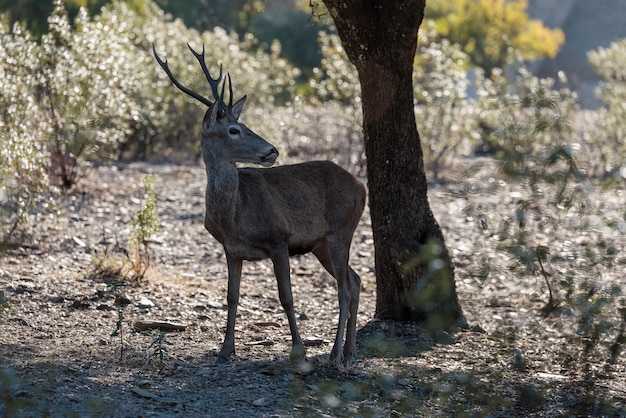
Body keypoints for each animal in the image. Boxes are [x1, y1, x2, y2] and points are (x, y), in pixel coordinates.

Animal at [152, 43, 366, 366]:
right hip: (320, 244)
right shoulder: (231, 250)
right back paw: (351, 350)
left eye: (244, 124)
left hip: (341, 230)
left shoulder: (279, 238)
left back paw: (336, 354)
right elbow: (231, 297)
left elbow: (286, 297)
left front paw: (299, 350)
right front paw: (225, 350)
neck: (234, 217)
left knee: (343, 287)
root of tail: (361, 185)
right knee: (355, 280)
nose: (272, 151)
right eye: (234, 130)